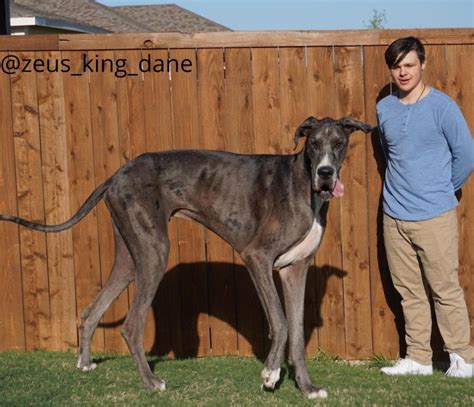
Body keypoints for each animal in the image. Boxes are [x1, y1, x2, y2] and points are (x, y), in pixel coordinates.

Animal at [0, 116, 370, 400]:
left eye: (338, 143)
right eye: (312, 144)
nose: (325, 173)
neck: (303, 183)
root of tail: (116, 174)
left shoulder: (295, 269)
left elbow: (297, 331)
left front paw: (307, 387)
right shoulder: (257, 257)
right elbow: (279, 322)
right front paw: (270, 374)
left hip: (130, 257)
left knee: (91, 310)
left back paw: (86, 363)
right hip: (154, 253)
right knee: (131, 325)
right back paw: (151, 383)